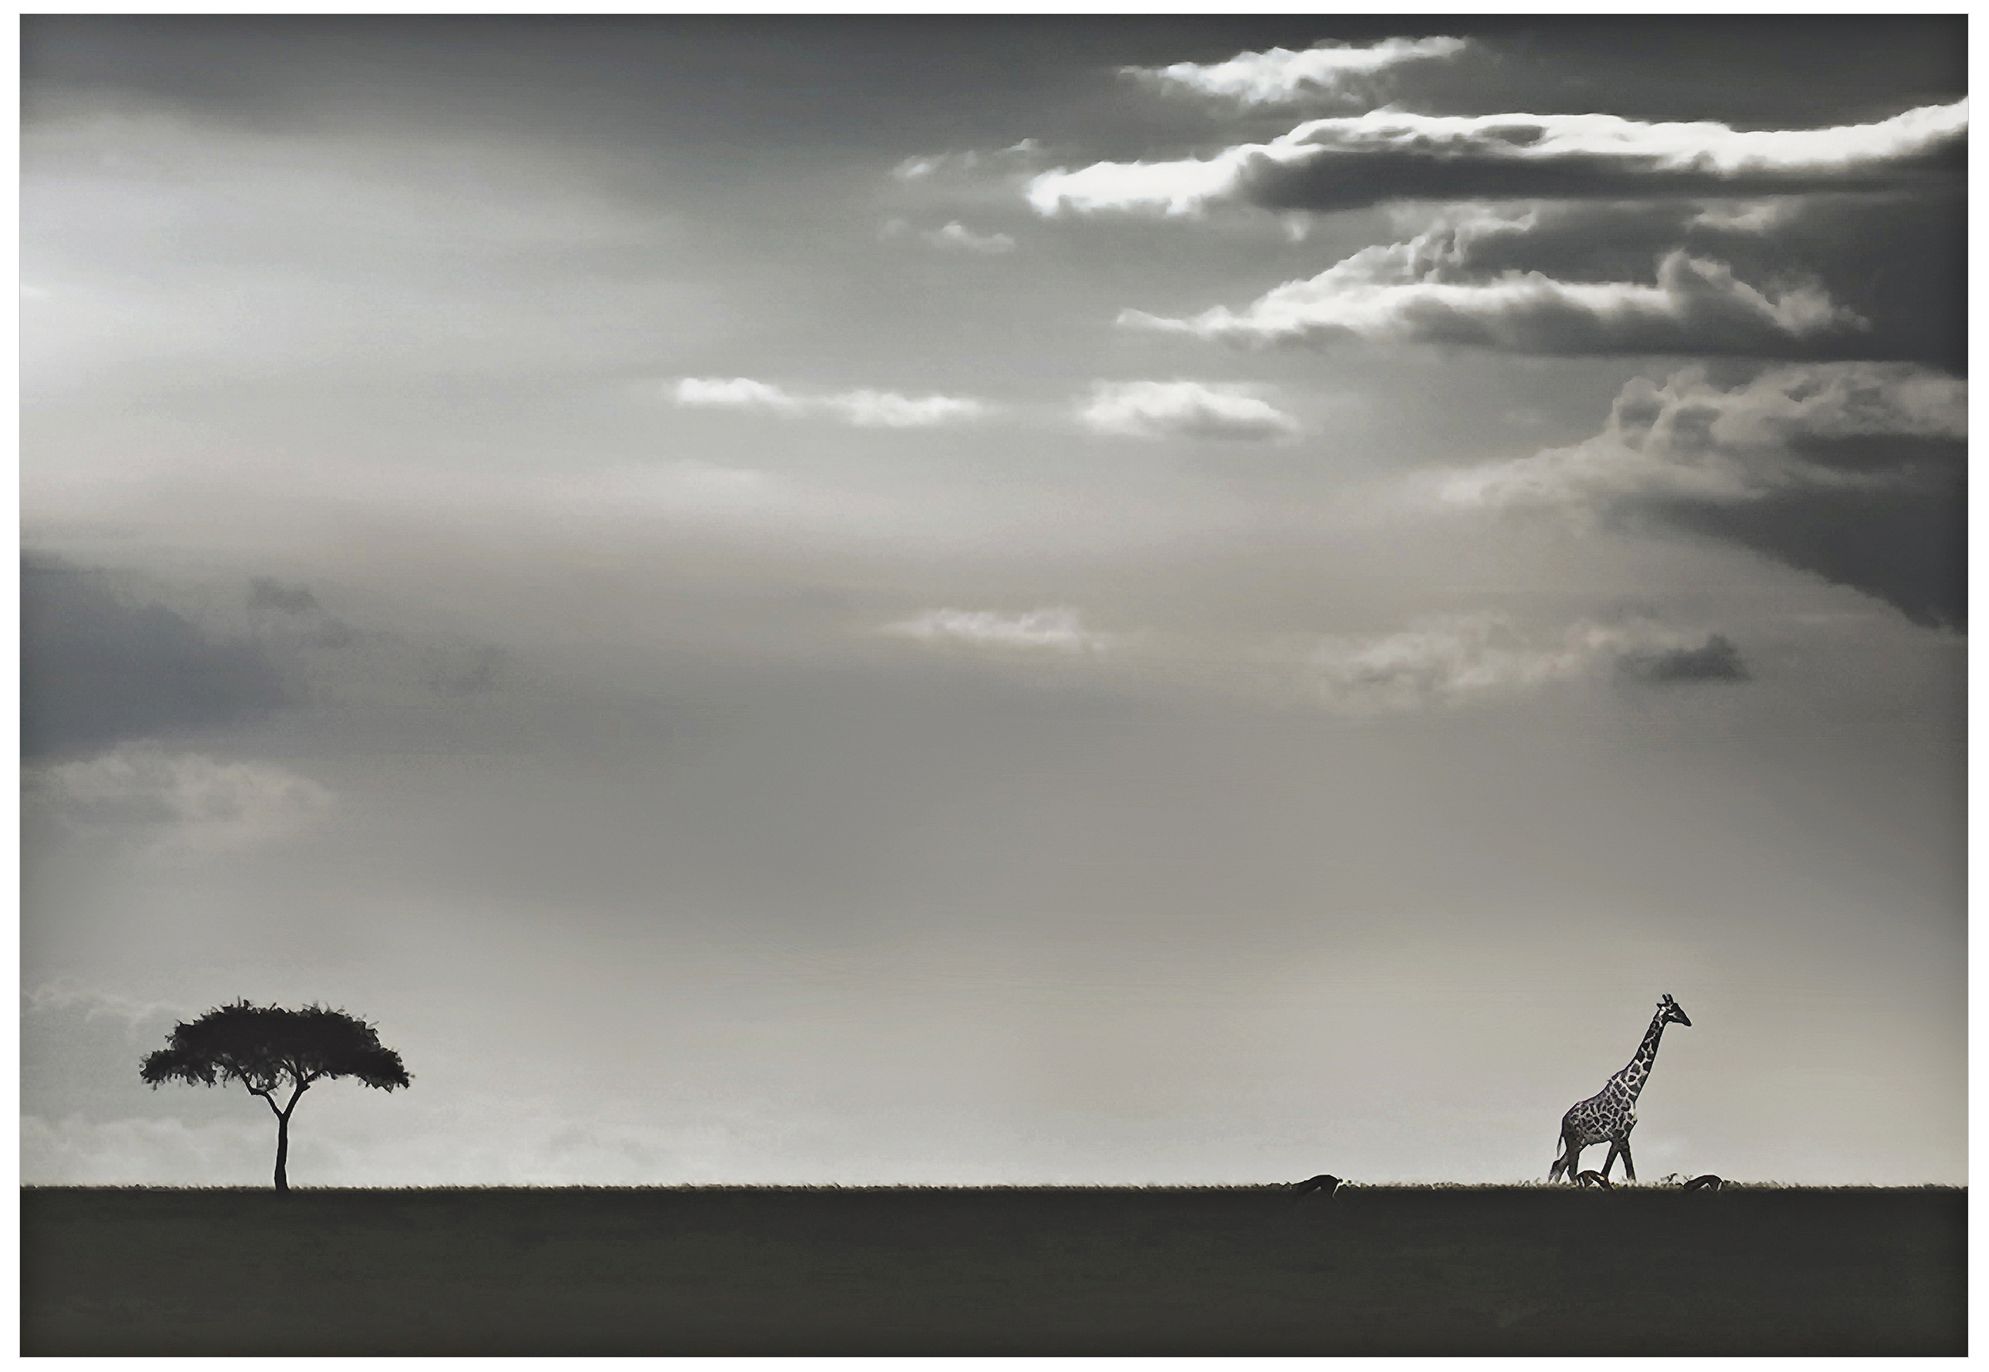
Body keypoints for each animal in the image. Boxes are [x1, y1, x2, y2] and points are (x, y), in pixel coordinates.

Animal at [1548, 993, 1692, 1184]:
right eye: (1674, 1009)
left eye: (1679, 1007)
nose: (1688, 1021)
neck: (1633, 1091)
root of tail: (1563, 1121)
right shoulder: (1619, 1136)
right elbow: (1611, 1173)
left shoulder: (1624, 1137)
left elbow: (1626, 1174)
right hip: (1575, 1141)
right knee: (1569, 1169)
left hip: (1580, 1143)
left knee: (1559, 1166)